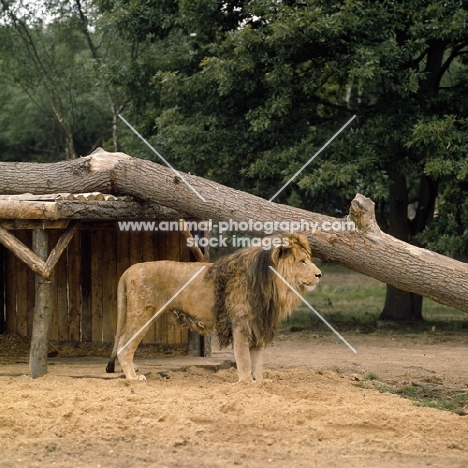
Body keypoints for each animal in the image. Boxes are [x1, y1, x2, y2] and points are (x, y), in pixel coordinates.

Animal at [106, 232, 322, 382]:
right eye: (303, 262)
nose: (319, 275)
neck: (272, 285)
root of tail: (130, 269)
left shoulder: (257, 325)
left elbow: (257, 361)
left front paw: (260, 382)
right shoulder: (240, 325)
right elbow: (244, 360)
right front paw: (246, 383)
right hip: (142, 314)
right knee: (124, 345)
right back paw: (133, 378)